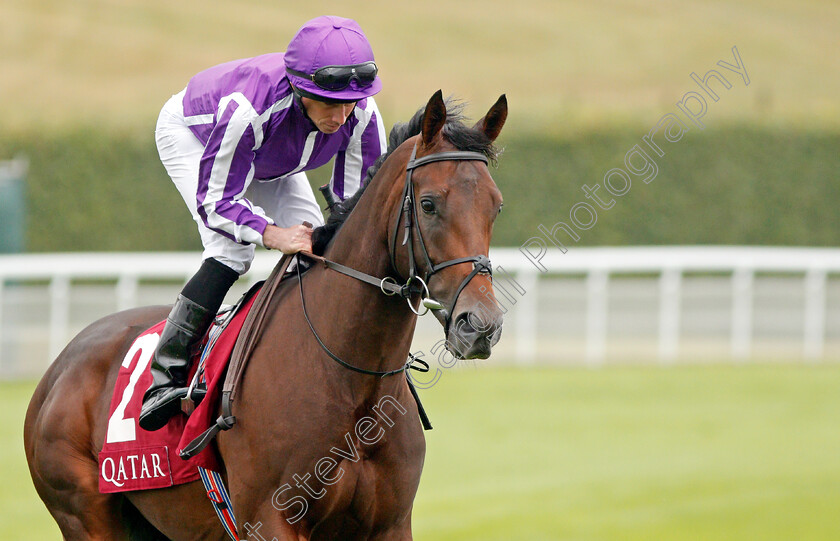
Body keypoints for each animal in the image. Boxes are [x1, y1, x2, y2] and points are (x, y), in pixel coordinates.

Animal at [26, 90, 508, 536]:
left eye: (496, 205)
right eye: (428, 203)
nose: (480, 325)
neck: (349, 383)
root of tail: (57, 369)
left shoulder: (389, 524)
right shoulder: (269, 518)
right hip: (85, 515)